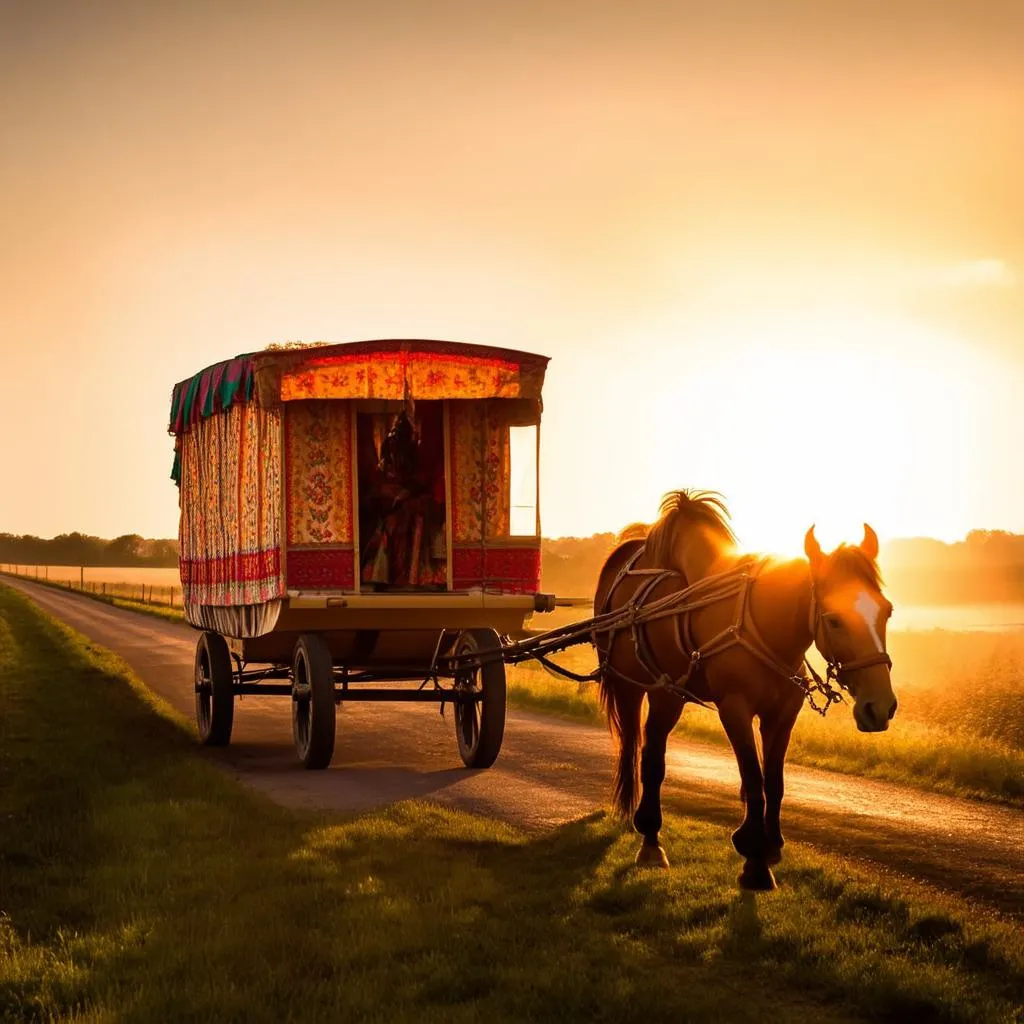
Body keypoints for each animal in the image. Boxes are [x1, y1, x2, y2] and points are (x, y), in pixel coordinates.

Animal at [593, 487, 897, 888]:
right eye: (833, 620)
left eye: (887, 611)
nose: (880, 707)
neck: (765, 625)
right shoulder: (734, 709)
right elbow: (753, 781)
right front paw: (754, 859)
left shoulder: (782, 716)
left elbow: (774, 783)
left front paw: (771, 845)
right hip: (636, 688)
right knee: (644, 751)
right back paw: (650, 838)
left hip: (666, 695)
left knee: (651, 749)